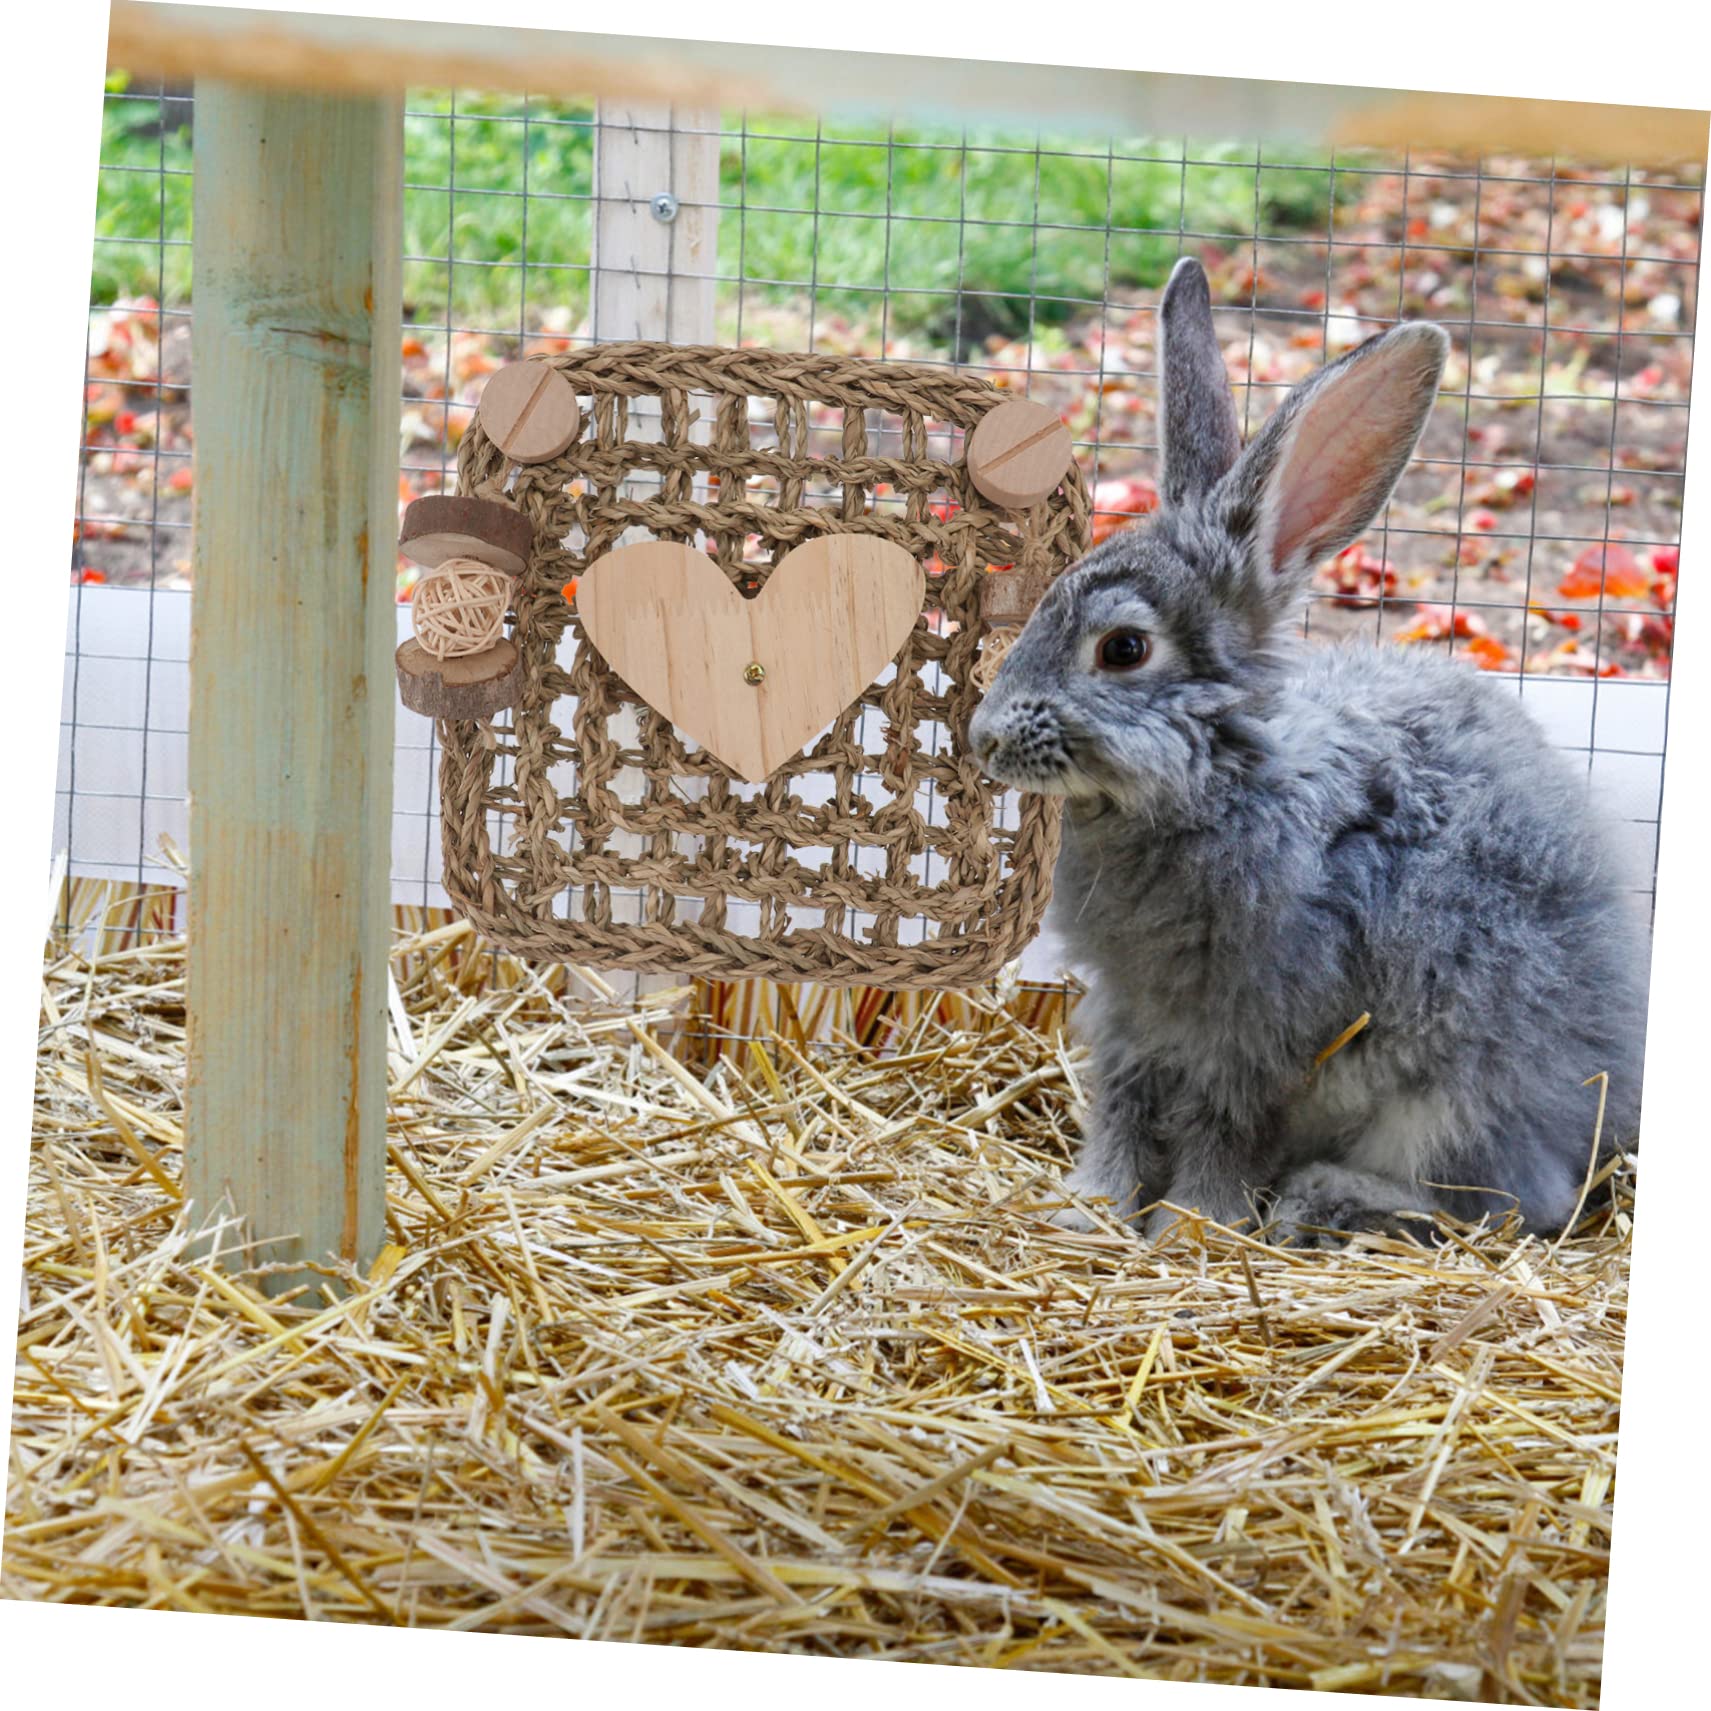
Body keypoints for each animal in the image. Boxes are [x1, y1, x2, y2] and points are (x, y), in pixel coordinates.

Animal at [968, 257, 1649, 1247]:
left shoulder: (1255, 1035)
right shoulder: (1133, 1019)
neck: (1224, 780)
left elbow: (1221, 1130)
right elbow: (1121, 1111)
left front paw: (1192, 1228)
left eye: (1123, 649)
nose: (983, 738)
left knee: (1510, 1202)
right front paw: (1089, 1209)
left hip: (1454, 1098)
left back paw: (1324, 1199)